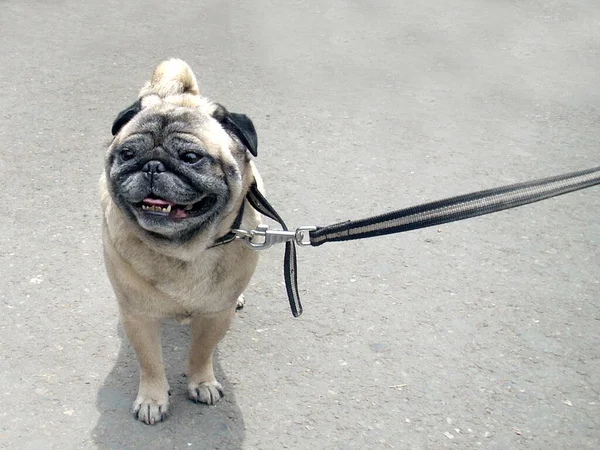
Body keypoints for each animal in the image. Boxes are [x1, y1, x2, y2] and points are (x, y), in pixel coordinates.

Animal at [100, 59, 262, 426]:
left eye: (190, 157)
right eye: (127, 153)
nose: (152, 165)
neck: (183, 250)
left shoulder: (215, 315)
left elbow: (201, 353)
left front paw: (201, 383)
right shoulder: (138, 318)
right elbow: (150, 363)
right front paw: (152, 399)